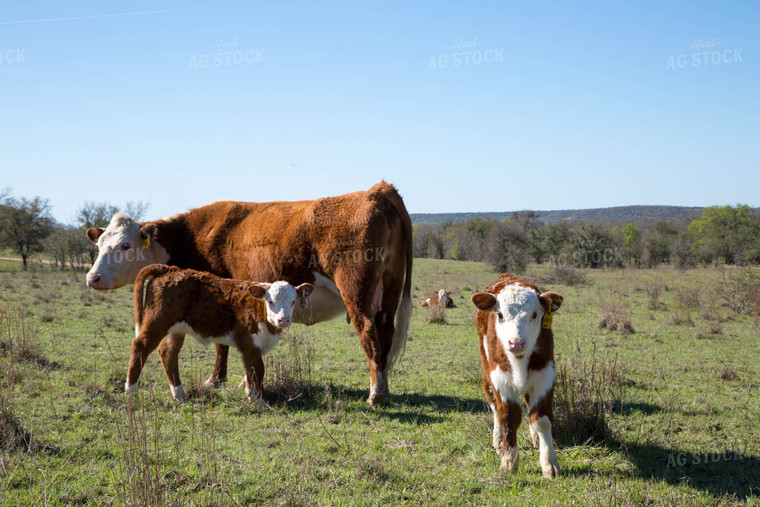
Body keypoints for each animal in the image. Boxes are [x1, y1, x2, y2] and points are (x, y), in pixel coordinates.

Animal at [126, 264, 314, 402]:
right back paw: (130, 390)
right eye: (270, 301)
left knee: (168, 353)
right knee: (140, 346)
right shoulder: (249, 342)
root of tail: (171, 269)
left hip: (176, 329)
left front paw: (252, 392)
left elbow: (252, 370)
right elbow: (258, 369)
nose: (283, 320)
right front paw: (257, 399)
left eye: (293, 301)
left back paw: (179, 394)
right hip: (157, 322)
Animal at [472, 274, 560, 476]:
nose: (516, 343)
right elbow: (508, 418)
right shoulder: (500, 380)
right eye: (500, 314)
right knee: (495, 409)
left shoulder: (544, 376)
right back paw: (498, 441)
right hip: (486, 375)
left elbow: (541, 419)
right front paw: (509, 461)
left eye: (534, 314)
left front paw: (549, 463)